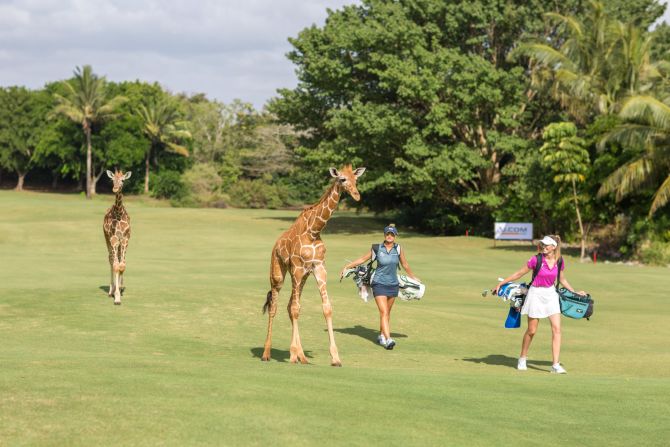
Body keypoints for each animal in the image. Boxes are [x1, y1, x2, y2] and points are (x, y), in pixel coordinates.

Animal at [262, 164, 368, 368]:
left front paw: (335, 358)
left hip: (302, 277)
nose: (357, 195)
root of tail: (275, 245)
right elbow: (296, 309)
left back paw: (302, 356)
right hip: (279, 273)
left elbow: (326, 308)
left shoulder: (319, 268)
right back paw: (267, 353)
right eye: (342, 179)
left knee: (290, 306)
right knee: (275, 306)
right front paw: (292, 355)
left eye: (356, 179)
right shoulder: (297, 268)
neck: (313, 231)